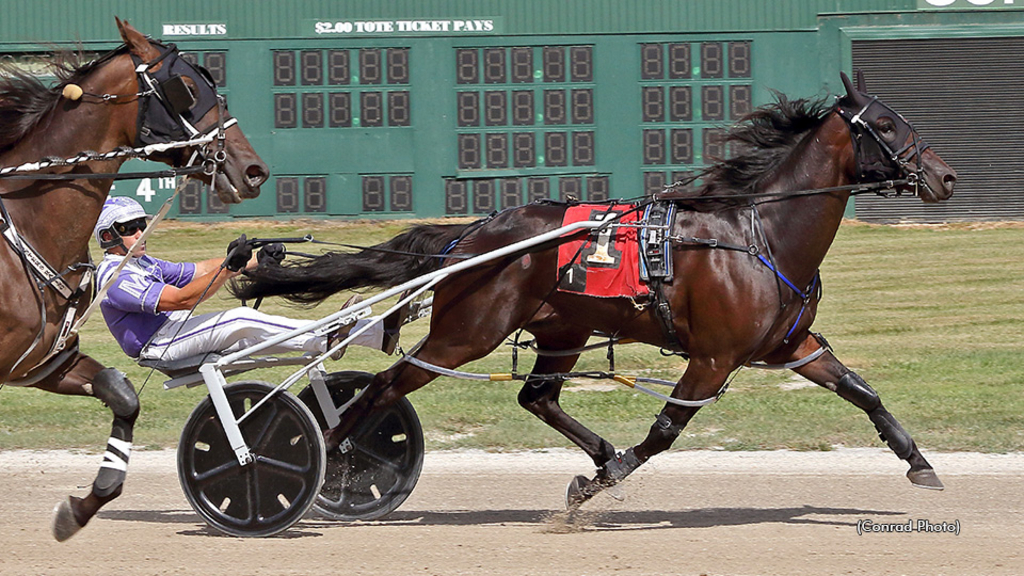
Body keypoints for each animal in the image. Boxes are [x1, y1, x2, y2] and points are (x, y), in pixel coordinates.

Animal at [0, 17, 268, 537]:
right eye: (187, 88)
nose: (253, 170)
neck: (28, 225)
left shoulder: (41, 363)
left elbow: (122, 396)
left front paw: (83, 505)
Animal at [235, 71, 954, 506]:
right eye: (887, 124)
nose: (944, 176)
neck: (760, 234)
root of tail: (471, 236)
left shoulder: (793, 345)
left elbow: (862, 391)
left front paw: (920, 464)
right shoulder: (713, 357)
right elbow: (664, 432)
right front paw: (594, 488)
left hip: (563, 329)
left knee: (537, 396)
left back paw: (599, 448)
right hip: (467, 333)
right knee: (386, 386)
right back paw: (336, 459)